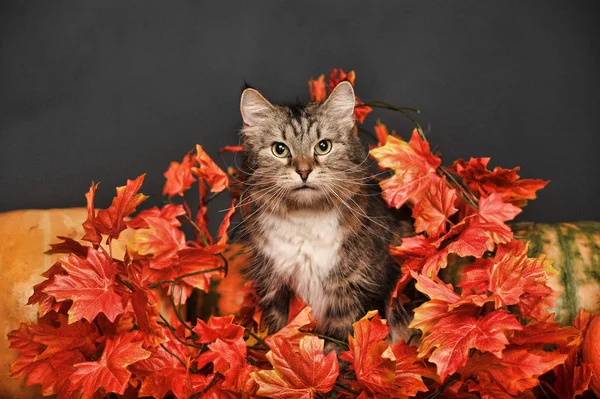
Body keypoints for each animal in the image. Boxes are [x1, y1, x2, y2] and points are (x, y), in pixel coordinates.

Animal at [237, 81, 414, 344]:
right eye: (280, 150)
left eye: (323, 147)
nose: (303, 171)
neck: (306, 219)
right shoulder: (276, 288)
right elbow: (281, 337)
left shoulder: (358, 290)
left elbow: (345, 342)